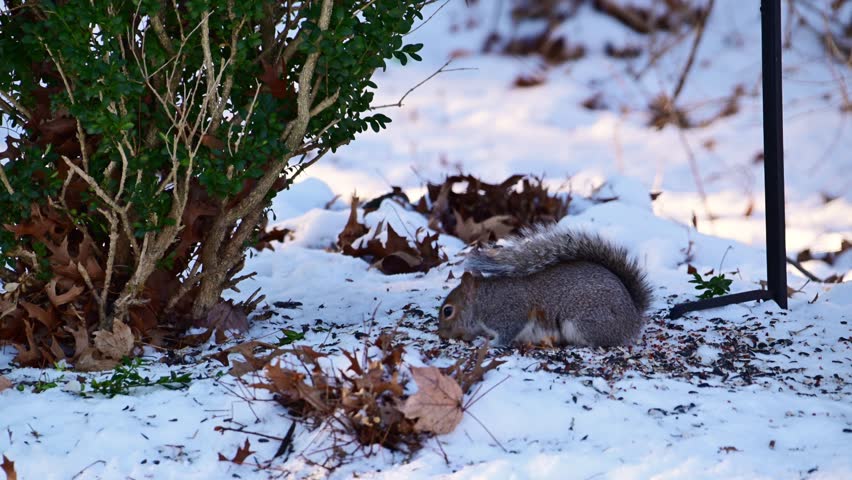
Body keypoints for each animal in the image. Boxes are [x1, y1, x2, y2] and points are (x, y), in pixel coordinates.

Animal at [437, 225, 653, 347]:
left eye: (448, 311)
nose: (441, 334)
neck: (483, 299)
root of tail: (634, 315)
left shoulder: (509, 312)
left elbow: (507, 333)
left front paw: (491, 344)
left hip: (586, 320)